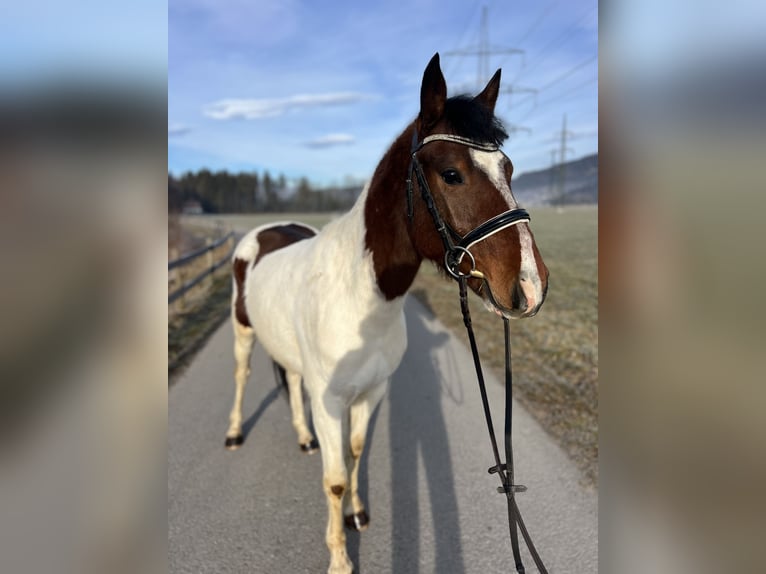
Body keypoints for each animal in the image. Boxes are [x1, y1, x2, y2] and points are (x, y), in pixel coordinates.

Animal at [225, 54, 548, 574]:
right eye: (451, 173)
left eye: (508, 168)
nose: (530, 285)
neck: (360, 298)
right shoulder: (330, 403)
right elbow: (336, 478)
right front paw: (340, 559)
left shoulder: (371, 393)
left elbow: (356, 453)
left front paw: (358, 514)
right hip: (242, 331)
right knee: (241, 374)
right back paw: (235, 433)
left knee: (289, 380)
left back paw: (302, 437)